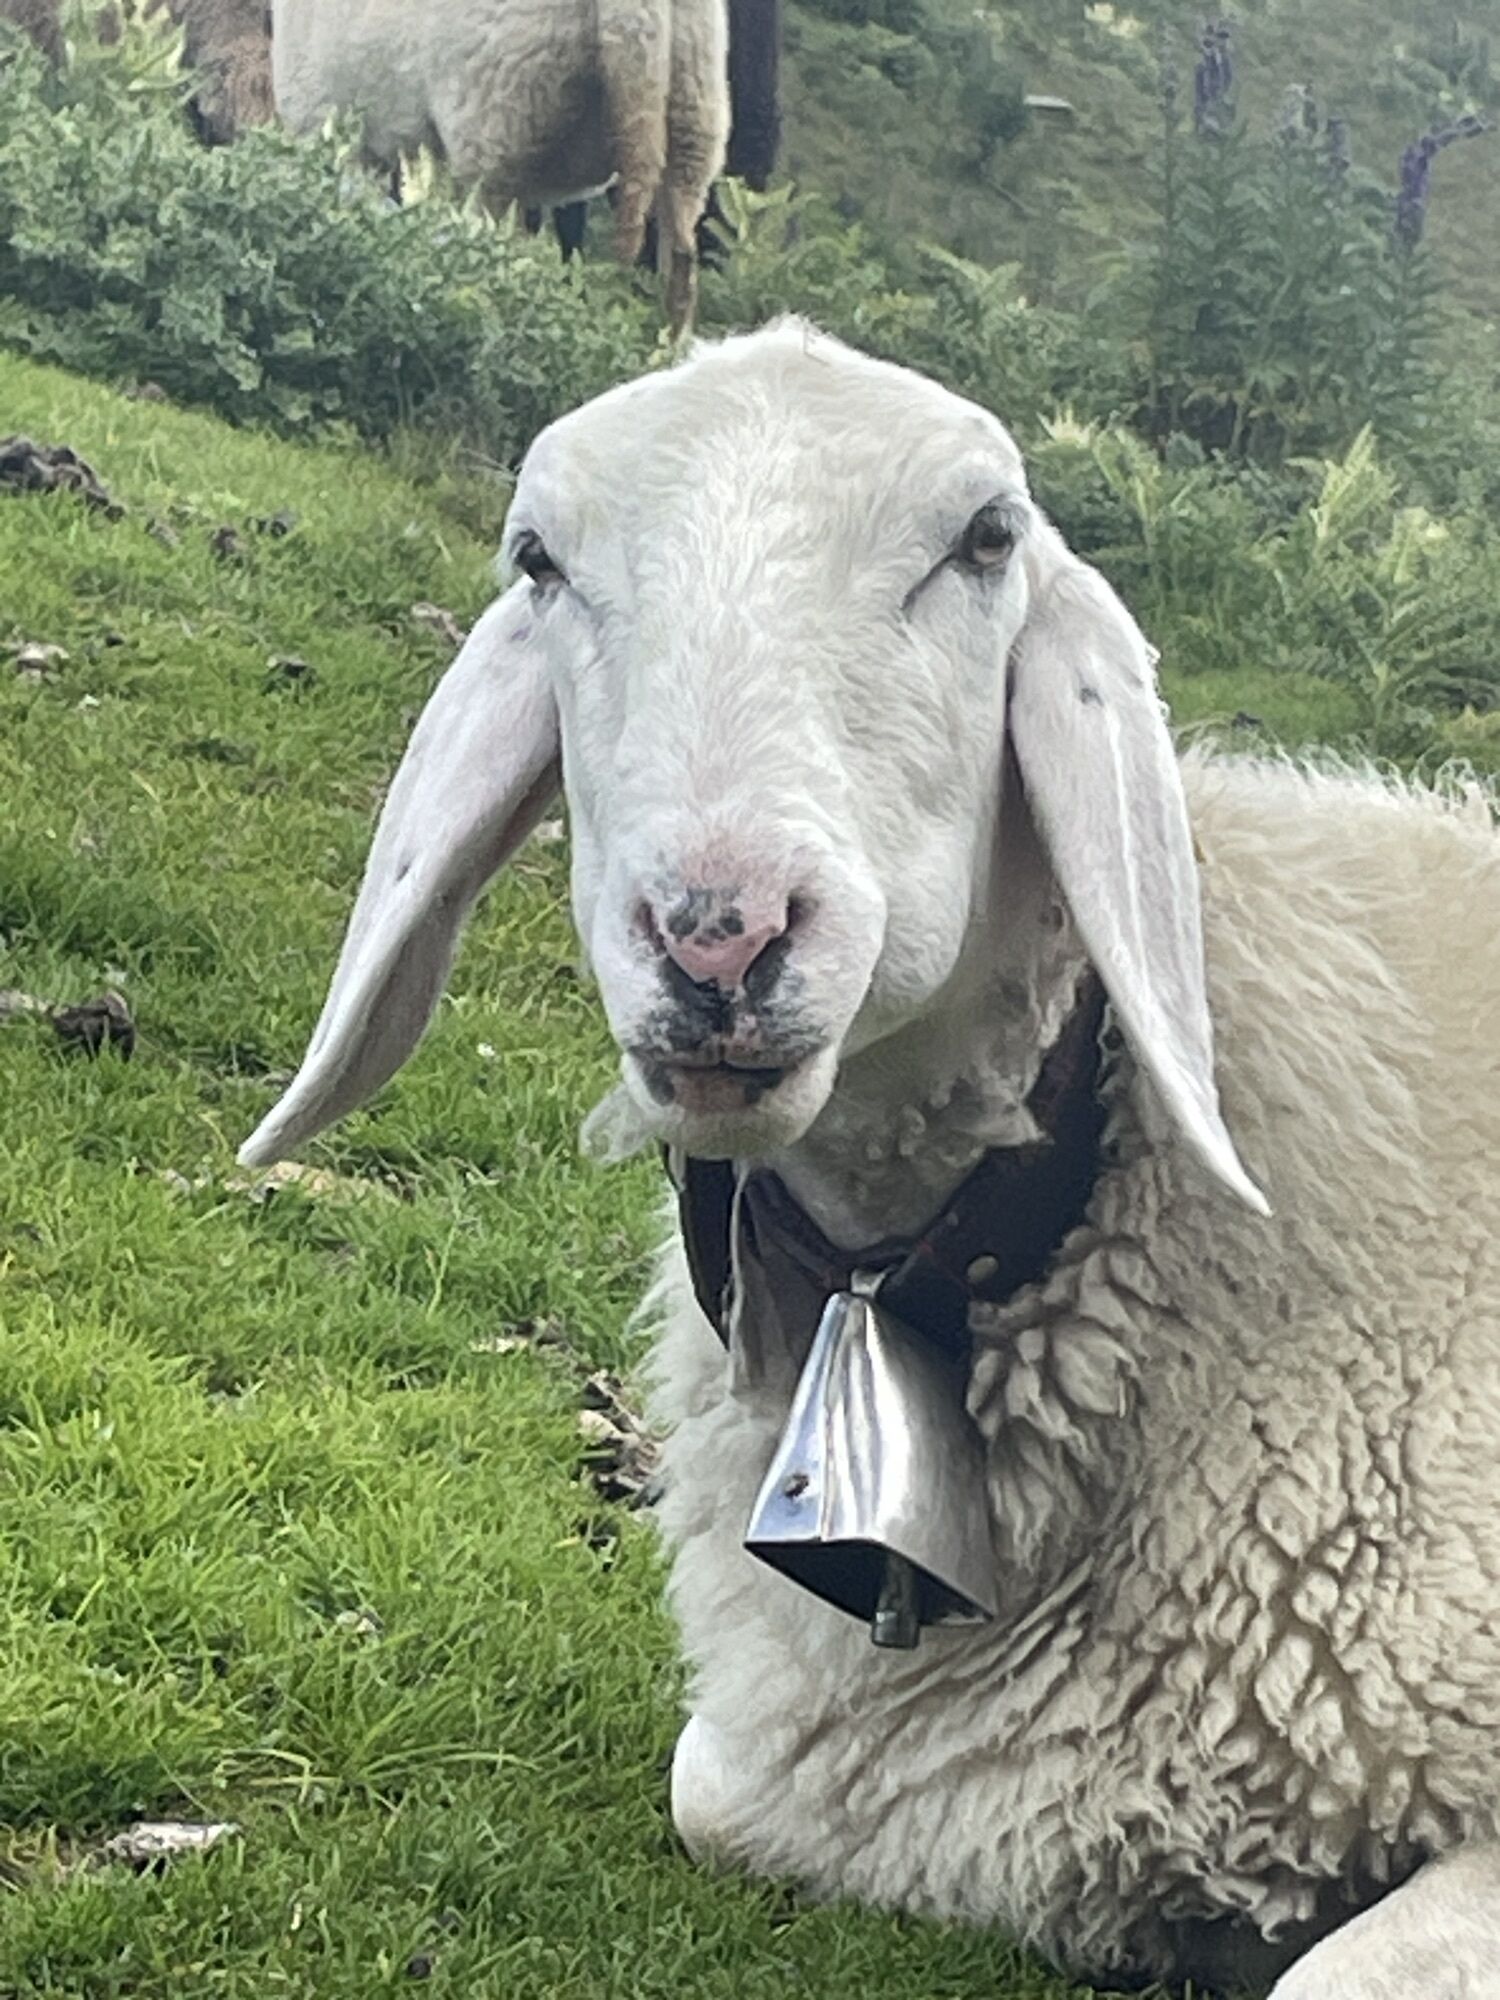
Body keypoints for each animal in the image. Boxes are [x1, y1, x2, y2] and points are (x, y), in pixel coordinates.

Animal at [270, 0, 731, 332]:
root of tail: (637, 12)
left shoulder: (328, 126)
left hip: (497, 121)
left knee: (496, 257)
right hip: (694, 113)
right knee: (681, 260)